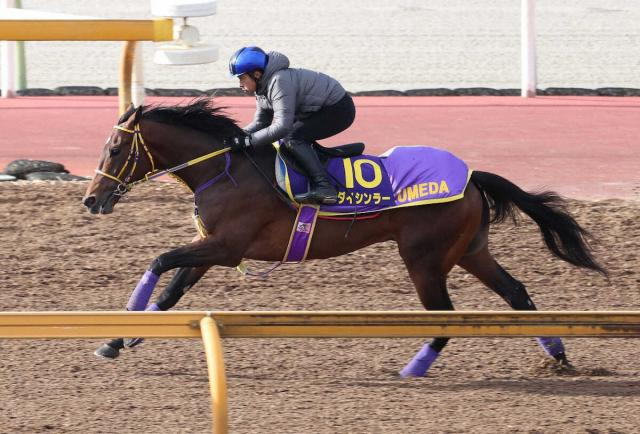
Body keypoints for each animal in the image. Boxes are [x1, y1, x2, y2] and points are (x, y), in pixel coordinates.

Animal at [81, 99, 604, 376]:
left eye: (115, 148)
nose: (91, 199)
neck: (222, 170)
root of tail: (473, 176)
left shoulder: (226, 248)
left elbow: (158, 262)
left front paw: (121, 331)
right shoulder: (213, 250)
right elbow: (171, 290)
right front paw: (119, 340)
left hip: (425, 258)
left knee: (446, 315)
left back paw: (413, 368)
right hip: (470, 252)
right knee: (518, 293)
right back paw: (558, 357)